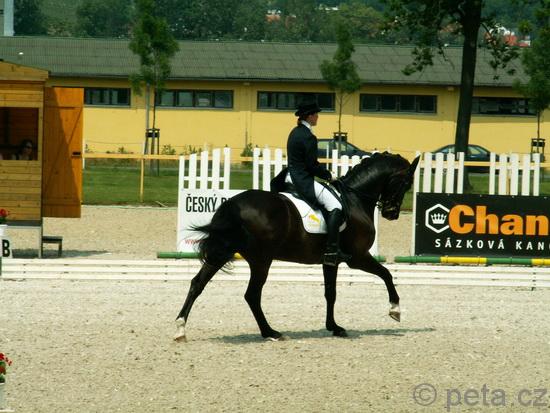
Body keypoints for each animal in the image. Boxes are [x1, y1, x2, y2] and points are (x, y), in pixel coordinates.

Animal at [174, 152, 420, 342]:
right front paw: (395, 310)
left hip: (223, 252)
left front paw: (334, 327)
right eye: (406, 184)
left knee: (198, 284)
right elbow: (386, 274)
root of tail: (234, 203)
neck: (354, 199)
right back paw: (270, 332)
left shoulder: (331, 260)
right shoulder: (357, 257)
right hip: (261, 260)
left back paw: (180, 329)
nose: (391, 213)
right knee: (252, 295)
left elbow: (330, 293)